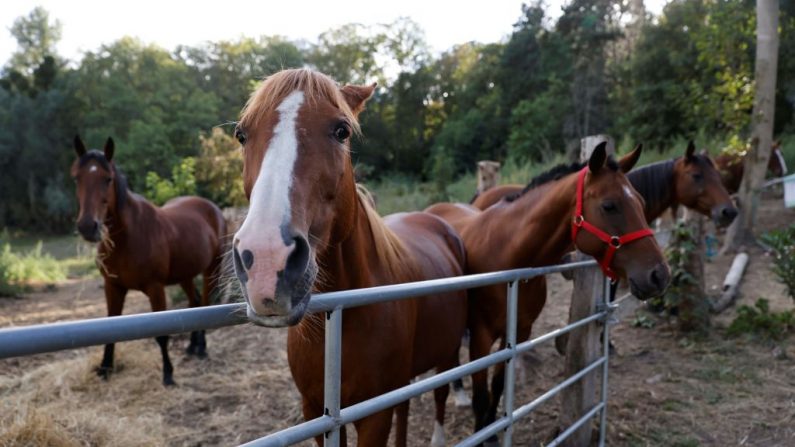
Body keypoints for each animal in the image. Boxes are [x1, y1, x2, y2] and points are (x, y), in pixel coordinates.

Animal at [71, 136, 227, 384]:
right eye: (77, 177)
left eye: (108, 179)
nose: (88, 226)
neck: (127, 238)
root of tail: (212, 208)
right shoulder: (112, 287)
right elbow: (109, 326)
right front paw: (105, 368)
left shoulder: (155, 289)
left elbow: (161, 334)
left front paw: (168, 373)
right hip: (185, 275)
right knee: (194, 303)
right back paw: (192, 346)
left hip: (212, 270)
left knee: (204, 303)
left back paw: (201, 347)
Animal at [235, 68, 472, 446]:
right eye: (241, 134)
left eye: (341, 130)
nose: (267, 260)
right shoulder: (315, 411)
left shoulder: (373, 416)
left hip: (447, 350)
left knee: (441, 392)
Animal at [426, 144, 668, 444]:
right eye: (609, 206)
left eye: (641, 202)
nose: (659, 275)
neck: (507, 253)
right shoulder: (481, 337)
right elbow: (481, 397)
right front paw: (482, 434)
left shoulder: (517, 332)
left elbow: (497, 386)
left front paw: (492, 432)